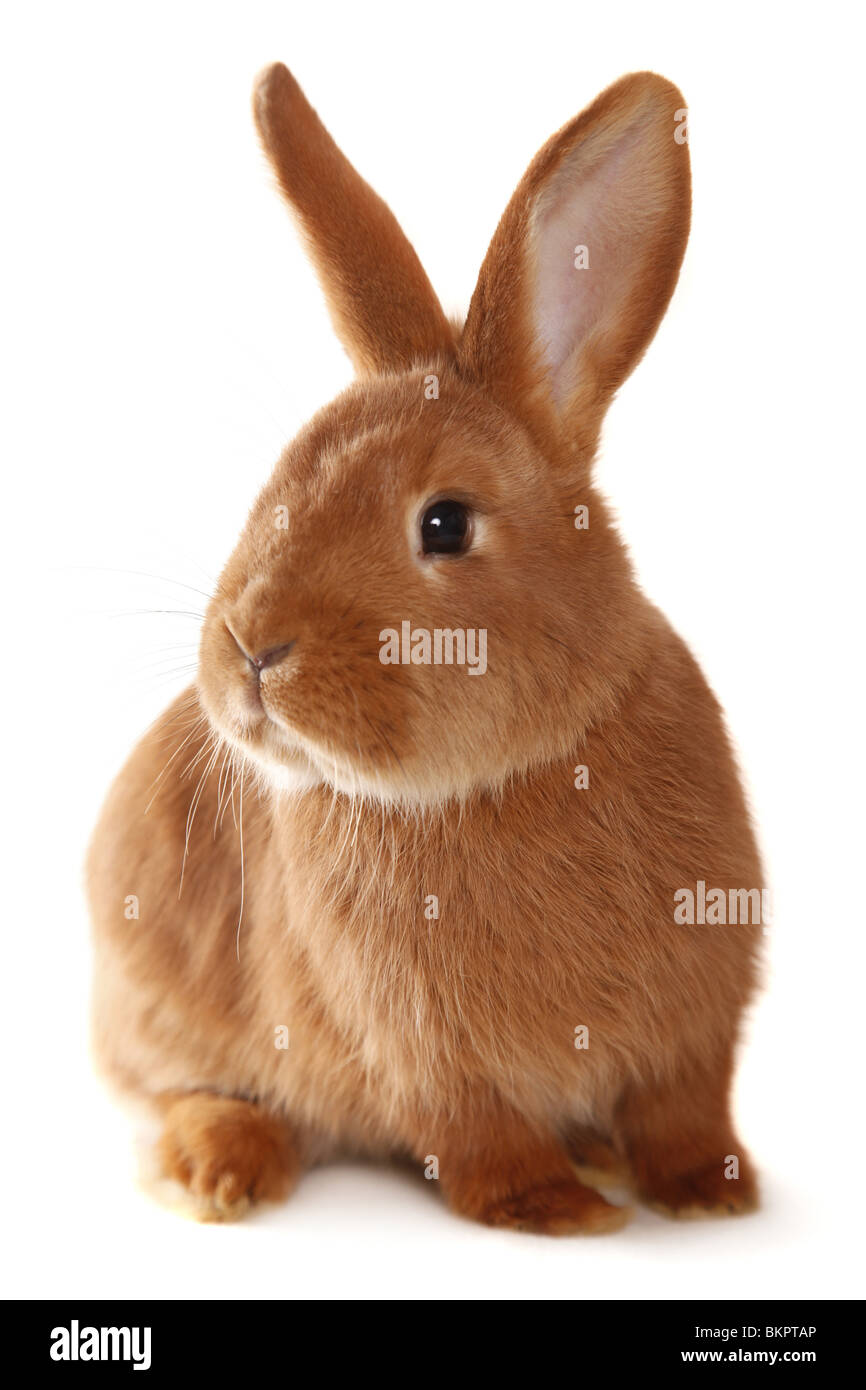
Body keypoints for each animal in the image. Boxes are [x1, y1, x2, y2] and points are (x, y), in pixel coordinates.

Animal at [88, 67, 761, 1239]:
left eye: (444, 524)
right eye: (280, 475)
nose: (250, 651)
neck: (517, 769)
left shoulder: (697, 1026)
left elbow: (685, 1111)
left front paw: (707, 1196)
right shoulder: (423, 1049)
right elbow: (476, 1132)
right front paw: (558, 1211)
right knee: (180, 1090)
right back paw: (223, 1170)